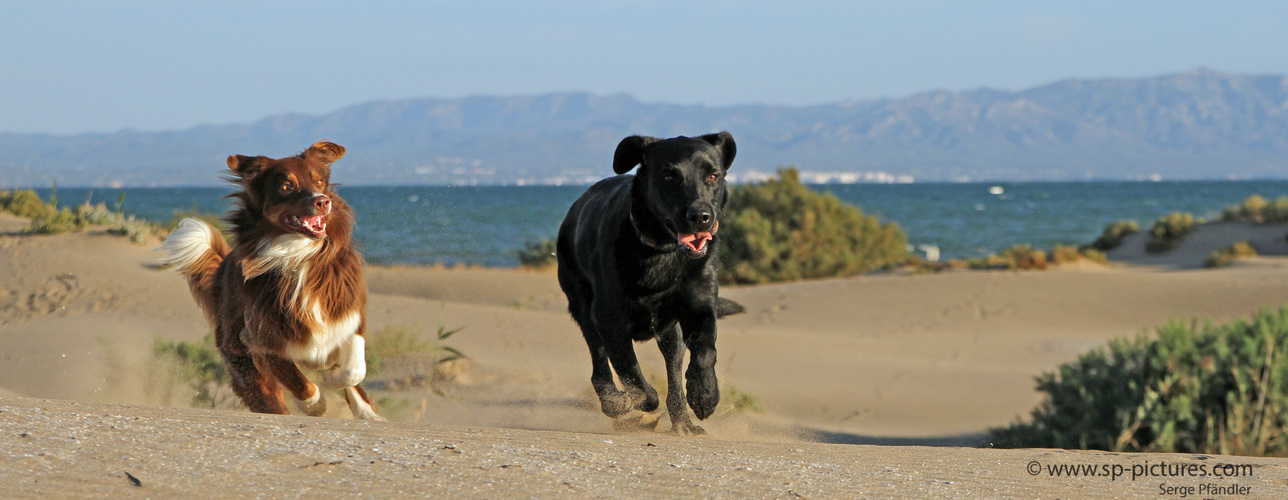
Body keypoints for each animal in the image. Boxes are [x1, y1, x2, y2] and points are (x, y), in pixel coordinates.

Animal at [157, 142, 378, 420]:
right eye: (286, 186)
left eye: (319, 181)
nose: (322, 201)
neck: (296, 255)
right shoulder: (259, 337)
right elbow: (296, 378)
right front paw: (315, 403)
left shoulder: (348, 311)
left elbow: (354, 369)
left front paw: (335, 377)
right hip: (242, 361)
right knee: (269, 397)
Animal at [556, 132, 741, 432]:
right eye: (668, 176)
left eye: (713, 176)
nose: (700, 216)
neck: (663, 252)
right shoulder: (610, 320)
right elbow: (629, 370)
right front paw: (642, 401)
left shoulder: (699, 308)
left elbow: (705, 352)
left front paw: (705, 395)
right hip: (583, 307)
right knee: (599, 364)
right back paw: (614, 402)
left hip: (670, 334)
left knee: (674, 370)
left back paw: (683, 423)